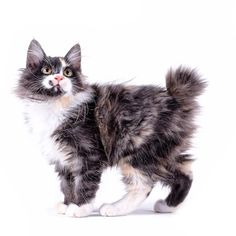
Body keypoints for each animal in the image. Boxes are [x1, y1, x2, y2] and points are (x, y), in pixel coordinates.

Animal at [15, 39, 206, 218]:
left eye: (67, 73)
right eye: (47, 70)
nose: (58, 78)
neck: (54, 106)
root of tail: (174, 98)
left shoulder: (88, 154)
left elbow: (84, 183)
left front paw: (79, 208)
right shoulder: (63, 159)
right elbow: (67, 183)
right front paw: (67, 203)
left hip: (136, 150)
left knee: (143, 185)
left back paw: (113, 208)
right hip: (163, 152)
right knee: (185, 172)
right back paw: (168, 206)